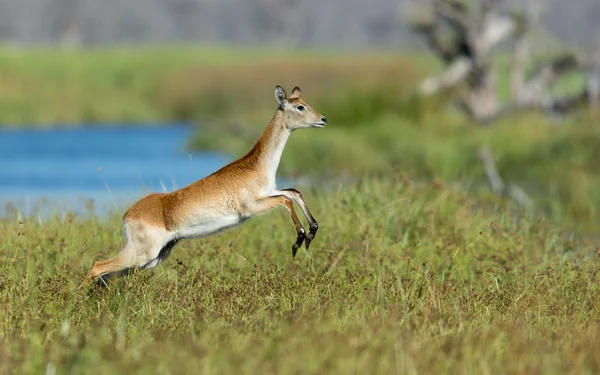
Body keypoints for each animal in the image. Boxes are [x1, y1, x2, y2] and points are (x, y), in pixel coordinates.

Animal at [79, 85, 328, 290]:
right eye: (300, 106)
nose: (323, 119)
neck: (256, 165)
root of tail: (127, 215)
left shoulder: (268, 192)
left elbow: (294, 192)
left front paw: (312, 231)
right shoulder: (251, 207)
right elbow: (286, 199)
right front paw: (299, 240)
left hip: (153, 258)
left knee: (105, 275)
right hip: (143, 254)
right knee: (97, 266)